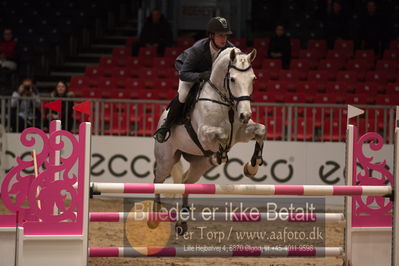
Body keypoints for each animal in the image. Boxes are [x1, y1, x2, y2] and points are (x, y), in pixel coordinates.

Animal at [152, 47, 266, 233]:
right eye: (232, 79)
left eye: (253, 78)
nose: (245, 115)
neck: (225, 102)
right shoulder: (204, 134)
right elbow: (222, 135)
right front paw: (222, 154)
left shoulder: (240, 133)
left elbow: (261, 130)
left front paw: (251, 167)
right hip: (166, 159)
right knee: (158, 181)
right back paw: (154, 218)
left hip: (200, 165)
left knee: (185, 182)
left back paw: (182, 221)